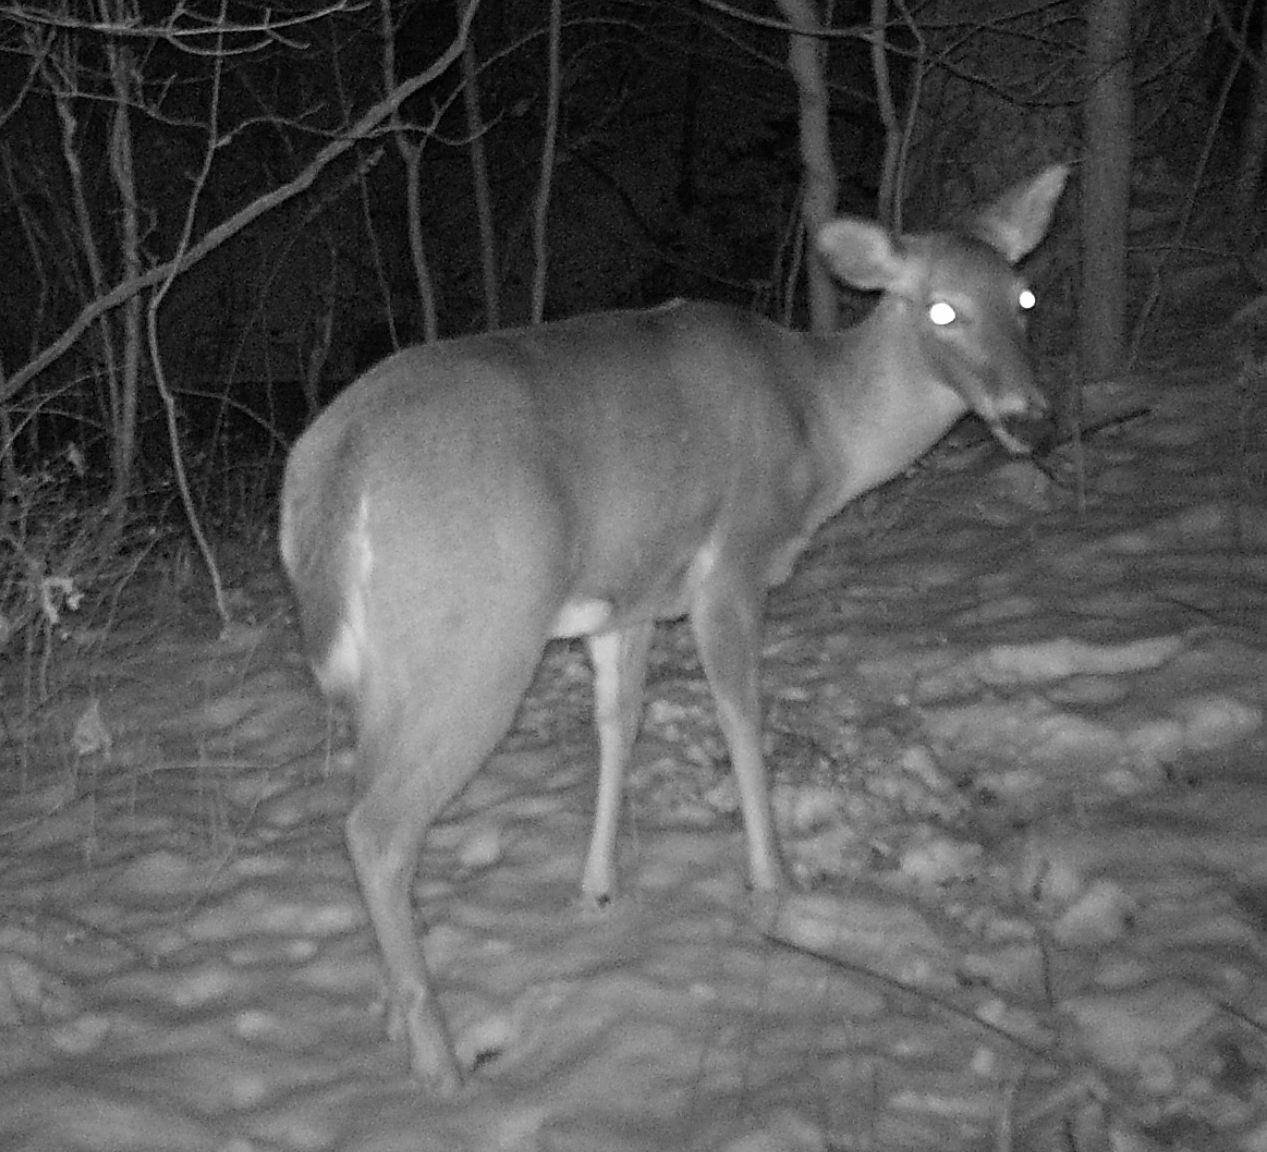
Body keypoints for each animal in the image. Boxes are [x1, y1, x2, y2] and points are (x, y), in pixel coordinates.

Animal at [279, 164, 1068, 1094]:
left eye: (1022, 295)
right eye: (941, 310)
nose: (1031, 418)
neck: (821, 423)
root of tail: (329, 475)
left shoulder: (626, 597)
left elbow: (619, 724)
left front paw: (596, 889)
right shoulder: (731, 563)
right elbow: (740, 716)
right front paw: (773, 884)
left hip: (394, 670)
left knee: (367, 800)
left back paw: (399, 1027)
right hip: (475, 640)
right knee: (376, 830)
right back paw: (440, 1064)